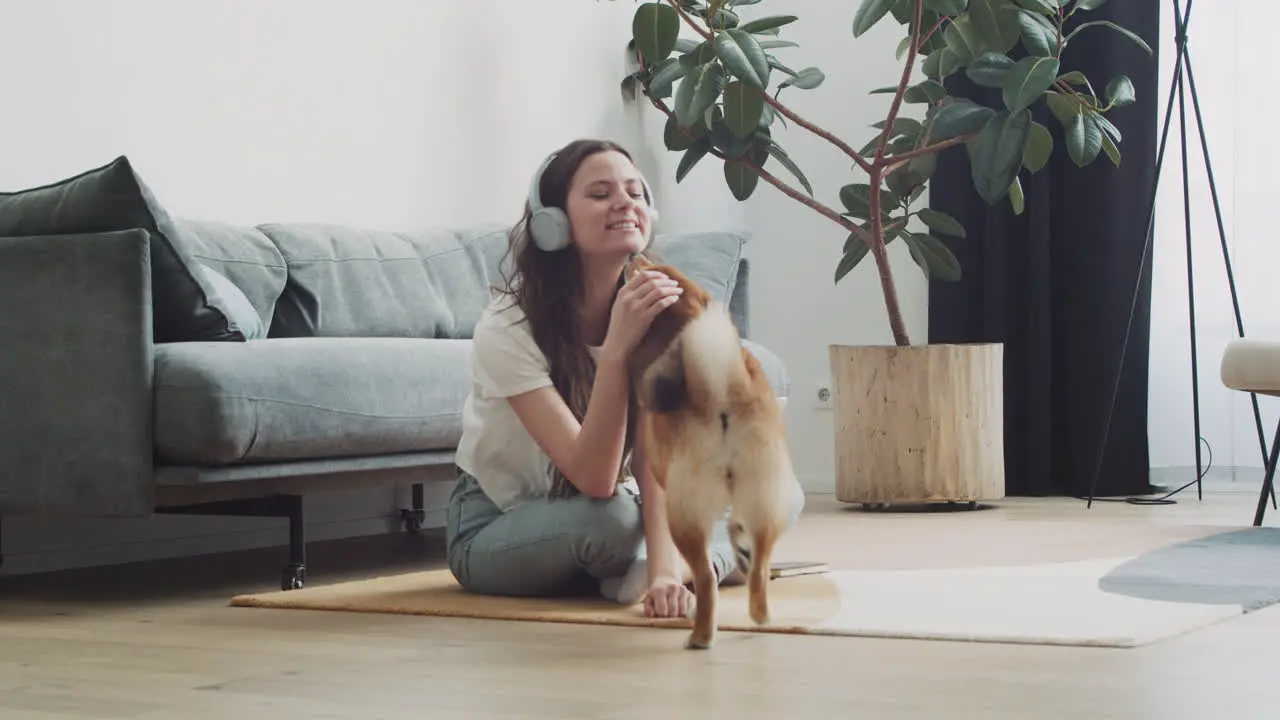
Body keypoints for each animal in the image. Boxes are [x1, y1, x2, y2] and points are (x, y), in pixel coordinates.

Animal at [622, 254, 793, 648]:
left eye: (645, 266)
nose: (633, 255)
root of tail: (721, 390)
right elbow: (737, 528)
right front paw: (740, 544)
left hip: (684, 515)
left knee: (705, 578)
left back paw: (700, 635)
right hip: (765, 493)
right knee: (760, 566)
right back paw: (759, 612)